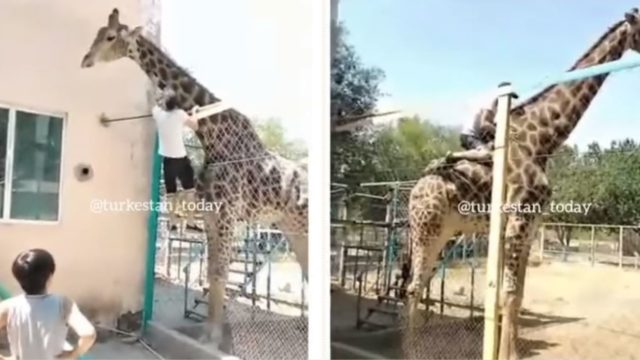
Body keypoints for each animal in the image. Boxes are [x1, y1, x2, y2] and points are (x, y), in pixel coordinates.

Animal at [81, 7, 308, 346]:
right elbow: (212, 274)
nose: (85, 60)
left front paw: (212, 338)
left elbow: (219, 274)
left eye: (109, 37)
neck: (212, 137)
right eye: (96, 33)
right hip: (290, 226)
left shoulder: (226, 216)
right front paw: (207, 334)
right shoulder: (212, 216)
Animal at [404, 8, 640, 360]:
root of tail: (413, 191)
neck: (546, 139)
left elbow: (517, 297)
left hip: (447, 233)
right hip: (426, 229)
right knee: (412, 286)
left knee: (420, 284)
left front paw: (513, 353)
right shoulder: (517, 223)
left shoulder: (530, 227)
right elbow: (509, 295)